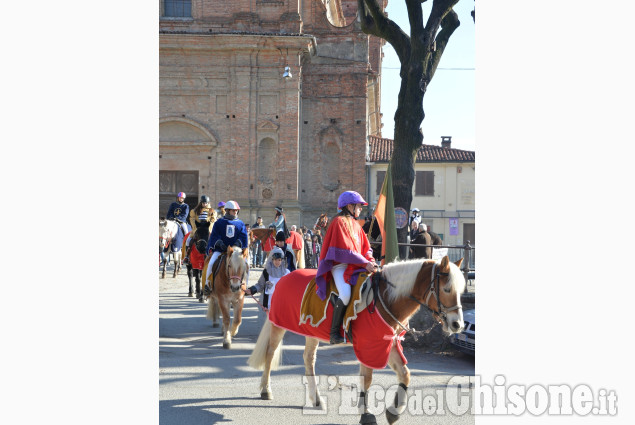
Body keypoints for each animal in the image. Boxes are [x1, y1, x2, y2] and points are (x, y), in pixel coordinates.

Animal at [248, 255, 468, 424]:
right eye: (447, 289)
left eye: (460, 291)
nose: (458, 324)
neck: (385, 298)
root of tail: (285, 276)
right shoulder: (369, 346)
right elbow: (367, 379)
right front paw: (366, 414)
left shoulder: (387, 343)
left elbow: (405, 374)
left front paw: (394, 412)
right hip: (278, 325)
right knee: (270, 353)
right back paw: (266, 390)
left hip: (312, 332)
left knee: (308, 359)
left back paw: (316, 400)